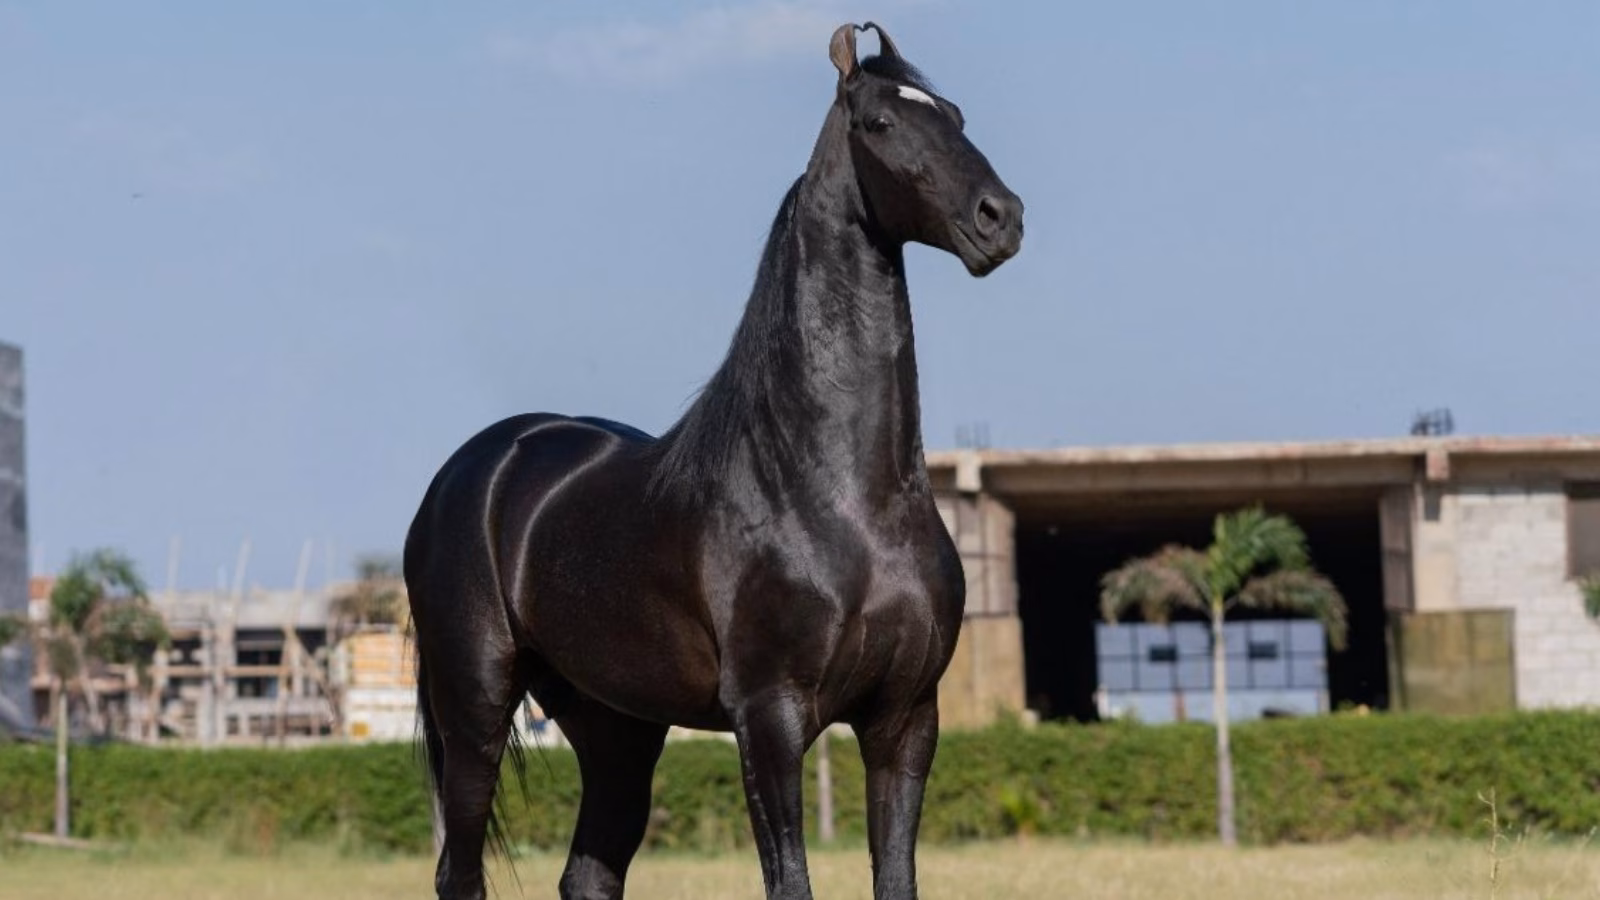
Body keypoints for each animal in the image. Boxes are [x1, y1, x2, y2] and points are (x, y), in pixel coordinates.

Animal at [404, 21, 1024, 900]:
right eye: (879, 123)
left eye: (956, 115)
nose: (1000, 217)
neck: (841, 498)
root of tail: (474, 470)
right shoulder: (768, 718)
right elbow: (789, 881)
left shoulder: (907, 717)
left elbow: (895, 877)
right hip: (477, 706)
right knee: (460, 870)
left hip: (617, 729)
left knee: (588, 874)